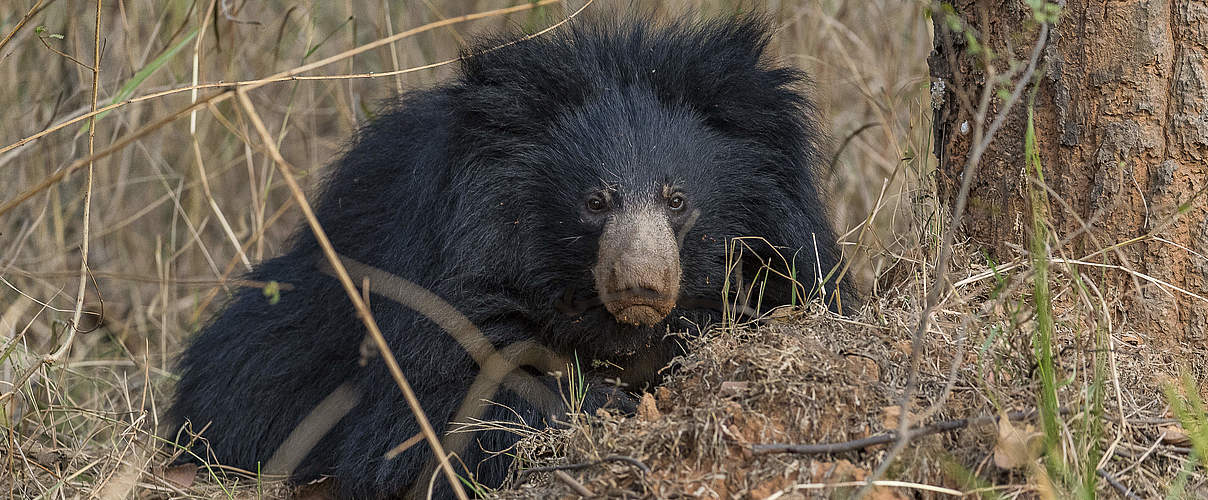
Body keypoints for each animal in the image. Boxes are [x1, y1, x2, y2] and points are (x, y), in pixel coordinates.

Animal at [170, 11, 850, 500]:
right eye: (595, 201)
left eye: (677, 199)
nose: (641, 286)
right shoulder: (443, 281)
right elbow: (433, 416)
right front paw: (601, 408)